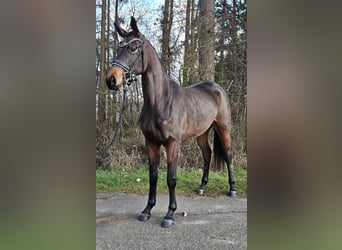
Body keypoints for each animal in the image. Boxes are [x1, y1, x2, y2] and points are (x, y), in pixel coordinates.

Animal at [105, 17, 236, 229]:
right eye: (118, 48)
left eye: (132, 48)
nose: (111, 80)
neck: (160, 101)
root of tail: (217, 88)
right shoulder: (151, 143)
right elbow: (153, 176)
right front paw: (147, 210)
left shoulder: (173, 143)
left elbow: (171, 178)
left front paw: (170, 214)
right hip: (202, 132)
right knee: (207, 154)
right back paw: (202, 187)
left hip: (223, 129)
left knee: (227, 155)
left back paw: (232, 189)